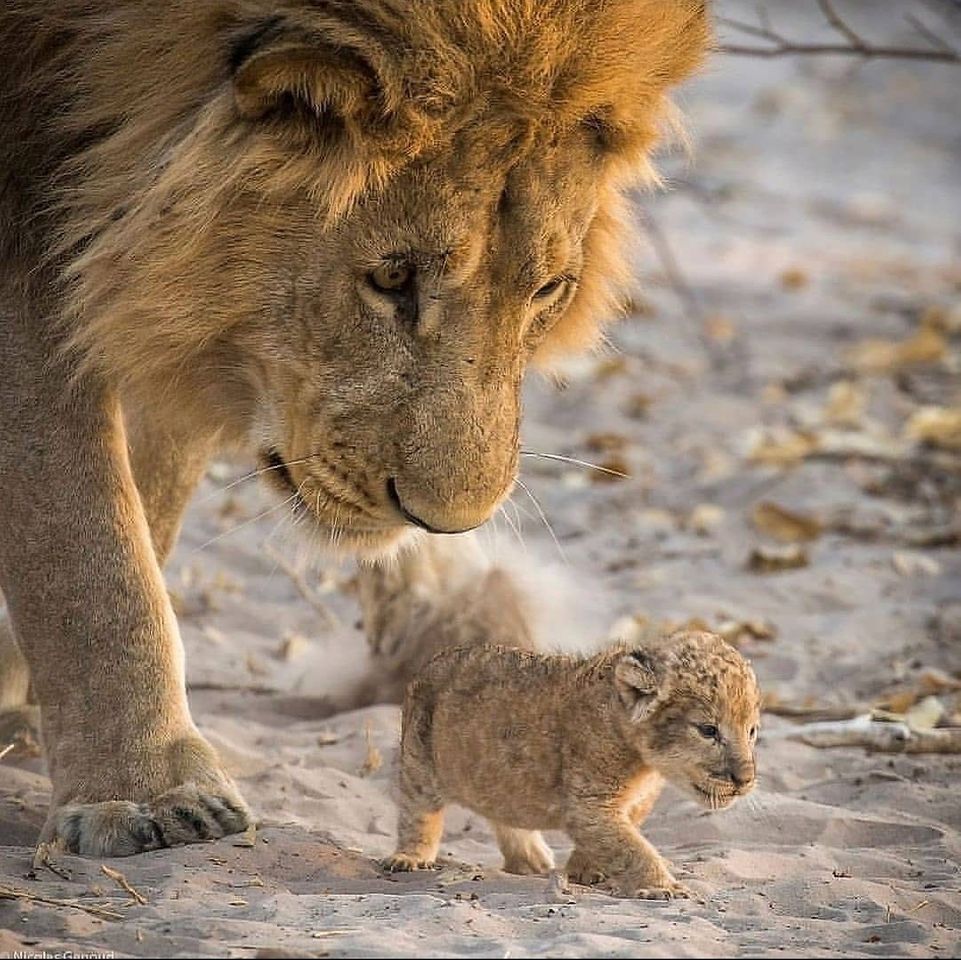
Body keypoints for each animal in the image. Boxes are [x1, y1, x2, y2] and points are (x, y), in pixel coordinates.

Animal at [0, 0, 704, 856]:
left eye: (548, 290)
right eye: (391, 276)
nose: (444, 525)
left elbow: (148, 498)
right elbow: (82, 534)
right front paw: (146, 794)